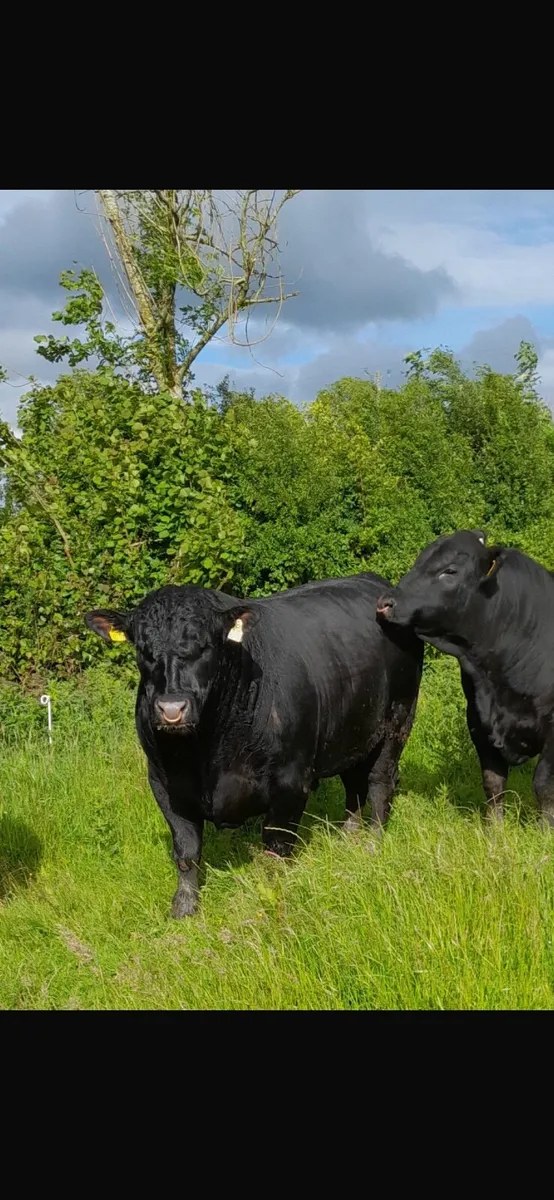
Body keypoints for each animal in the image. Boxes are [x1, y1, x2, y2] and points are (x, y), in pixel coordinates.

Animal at [86, 576, 423, 917]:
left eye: (205, 646)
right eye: (143, 650)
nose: (171, 708)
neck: (206, 751)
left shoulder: (291, 782)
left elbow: (276, 848)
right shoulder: (165, 785)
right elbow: (186, 850)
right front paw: (184, 908)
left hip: (398, 718)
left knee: (379, 783)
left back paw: (372, 843)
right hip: (352, 730)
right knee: (353, 783)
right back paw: (348, 837)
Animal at [376, 529, 554, 827]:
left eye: (450, 570)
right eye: (419, 560)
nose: (385, 603)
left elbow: (544, 786)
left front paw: (544, 830)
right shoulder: (478, 722)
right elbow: (493, 783)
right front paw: (496, 831)